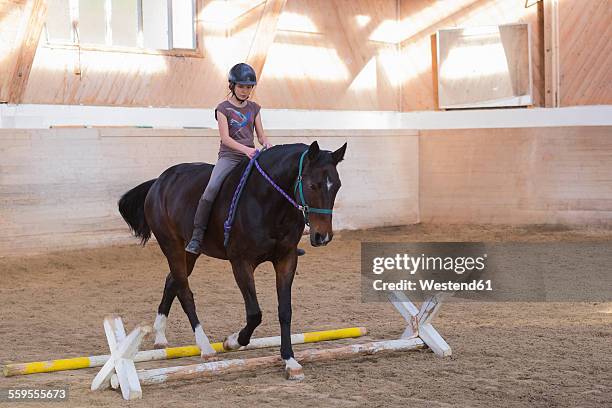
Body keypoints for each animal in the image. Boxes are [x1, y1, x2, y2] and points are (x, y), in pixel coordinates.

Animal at [117, 141, 346, 380]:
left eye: (337, 186)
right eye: (312, 185)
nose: (323, 237)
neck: (267, 201)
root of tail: (160, 181)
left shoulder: (286, 259)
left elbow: (285, 311)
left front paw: (290, 361)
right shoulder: (241, 262)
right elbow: (254, 314)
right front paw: (232, 341)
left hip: (190, 250)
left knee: (172, 282)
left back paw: (160, 336)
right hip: (172, 247)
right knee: (185, 292)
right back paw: (206, 348)